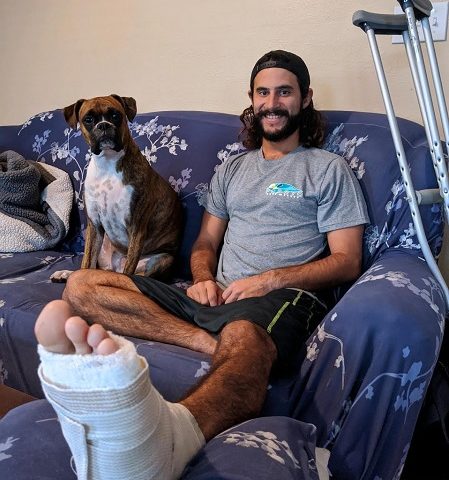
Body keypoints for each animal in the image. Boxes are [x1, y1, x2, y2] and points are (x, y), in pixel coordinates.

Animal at [53, 94, 184, 282]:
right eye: (88, 119)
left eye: (115, 115)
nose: (104, 125)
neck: (107, 163)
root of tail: (115, 269)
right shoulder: (94, 225)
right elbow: (86, 263)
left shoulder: (136, 226)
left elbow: (129, 269)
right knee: (94, 269)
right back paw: (66, 273)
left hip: (162, 259)